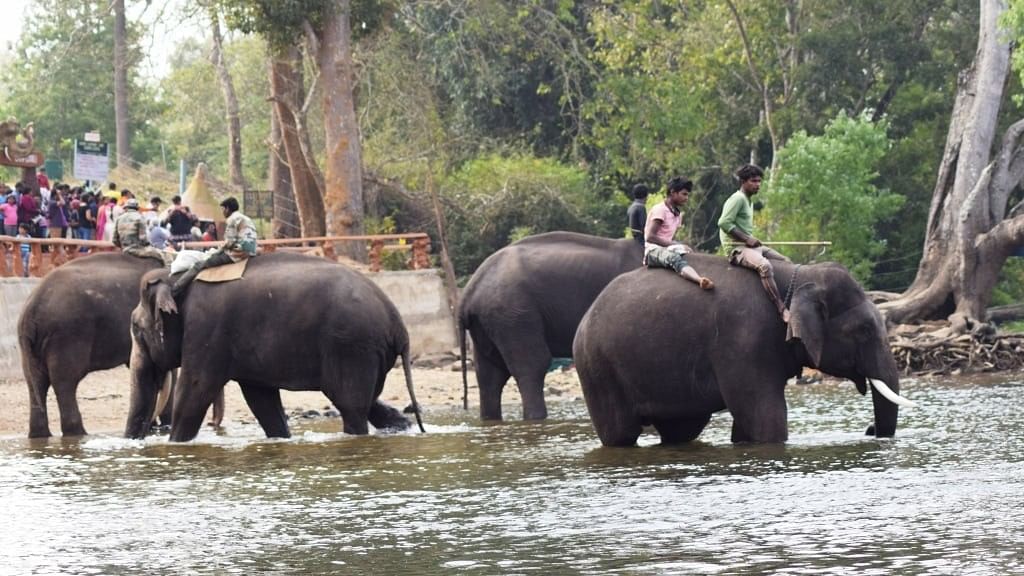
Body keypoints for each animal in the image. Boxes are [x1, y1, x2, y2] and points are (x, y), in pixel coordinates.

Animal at [19, 251, 164, 434]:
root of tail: (31, 309)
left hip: (31, 346)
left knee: (36, 383)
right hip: (68, 334)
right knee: (65, 382)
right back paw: (78, 433)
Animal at [124, 251, 428, 438]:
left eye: (136, 328)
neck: (175, 279)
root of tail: (398, 324)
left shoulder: (206, 329)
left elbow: (195, 390)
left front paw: (175, 444)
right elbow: (261, 399)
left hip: (352, 346)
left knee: (351, 406)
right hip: (365, 351)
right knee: (367, 402)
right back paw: (401, 426)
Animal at [458, 230, 638, 420]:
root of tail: (467, 294)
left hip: (488, 322)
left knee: (490, 375)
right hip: (513, 314)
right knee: (533, 366)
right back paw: (536, 418)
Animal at [573, 253, 917, 446]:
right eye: (864, 330)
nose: (870, 429)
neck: (797, 275)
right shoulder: (743, 340)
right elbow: (765, 419)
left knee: (681, 431)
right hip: (597, 369)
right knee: (620, 435)